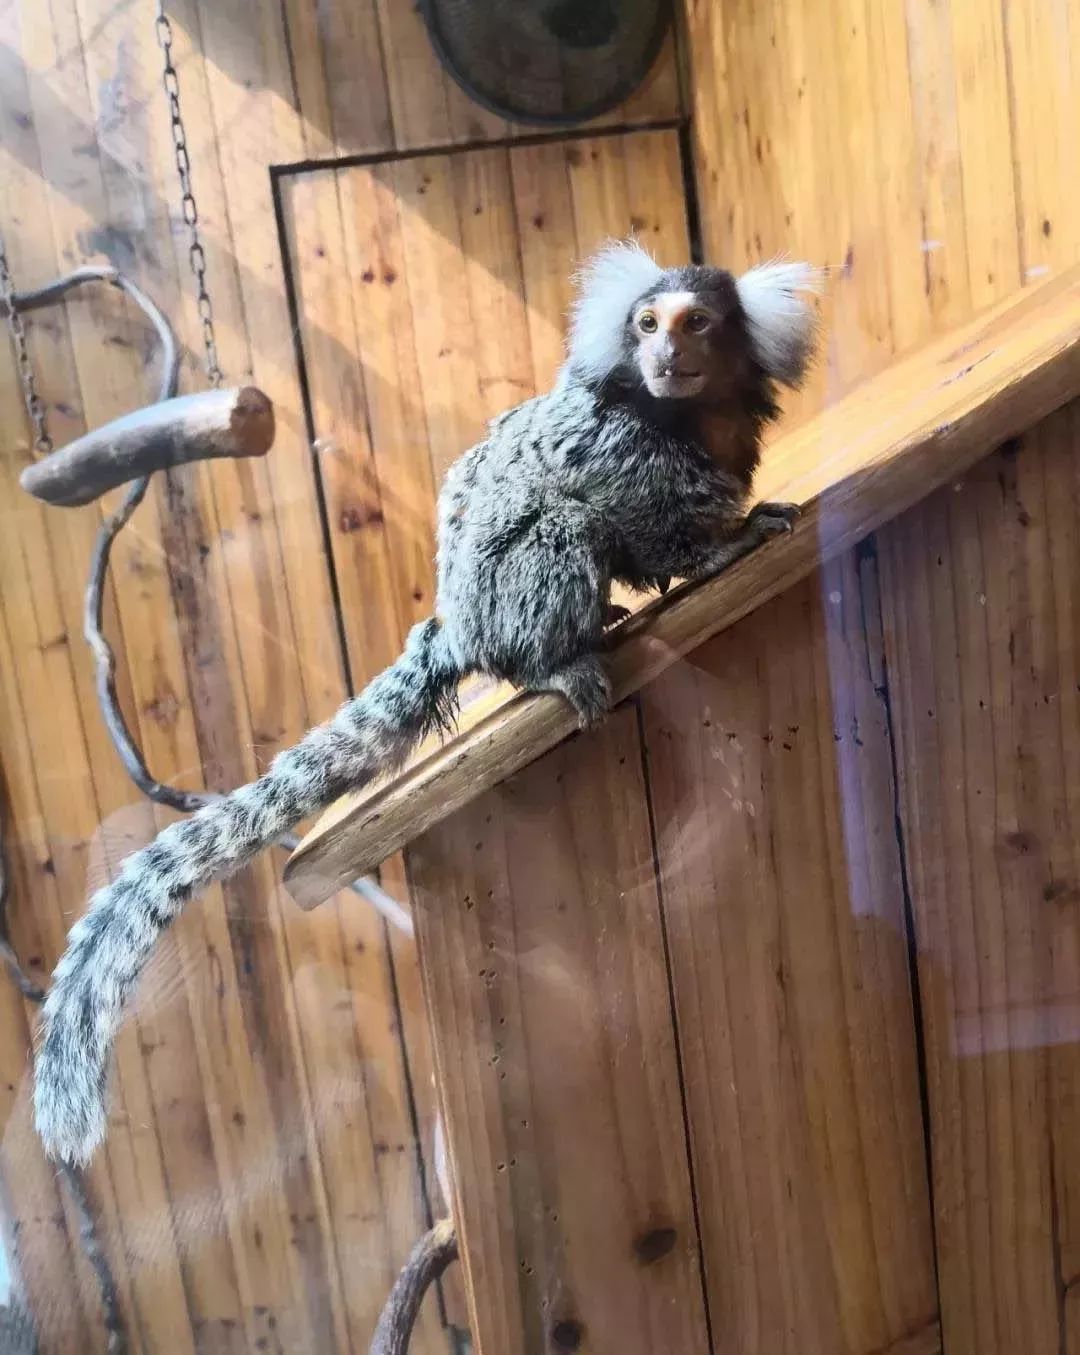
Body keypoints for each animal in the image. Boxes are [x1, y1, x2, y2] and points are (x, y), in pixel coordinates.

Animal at [35, 238, 818, 1159]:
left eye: (696, 324)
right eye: (646, 324)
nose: (664, 355)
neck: (687, 418)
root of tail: (457, 628)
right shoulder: (620, 454)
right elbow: (635, 520)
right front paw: (724, 546)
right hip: (508, 594)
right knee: (561, 529)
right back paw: (552, 662)